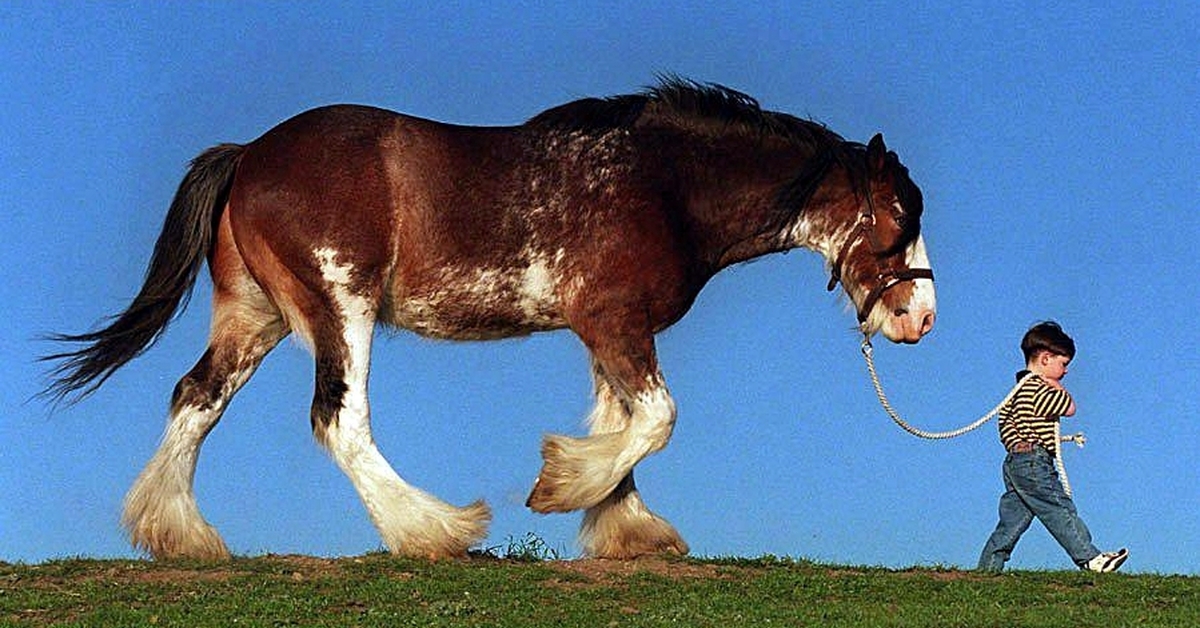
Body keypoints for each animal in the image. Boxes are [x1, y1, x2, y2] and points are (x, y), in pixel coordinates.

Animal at [44, 78, 936, 560]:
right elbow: (655, 419)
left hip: (254, 316)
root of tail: (250, 154)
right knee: (340, 418)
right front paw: (560, 488)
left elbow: (623, 425)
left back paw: (179, 535)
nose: (920, 317)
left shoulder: (605, 330)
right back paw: (432, 530)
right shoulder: (615, 322)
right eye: (899, 218)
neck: (663, 185)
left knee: (195, 399)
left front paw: (622, 526)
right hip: (341, 306)